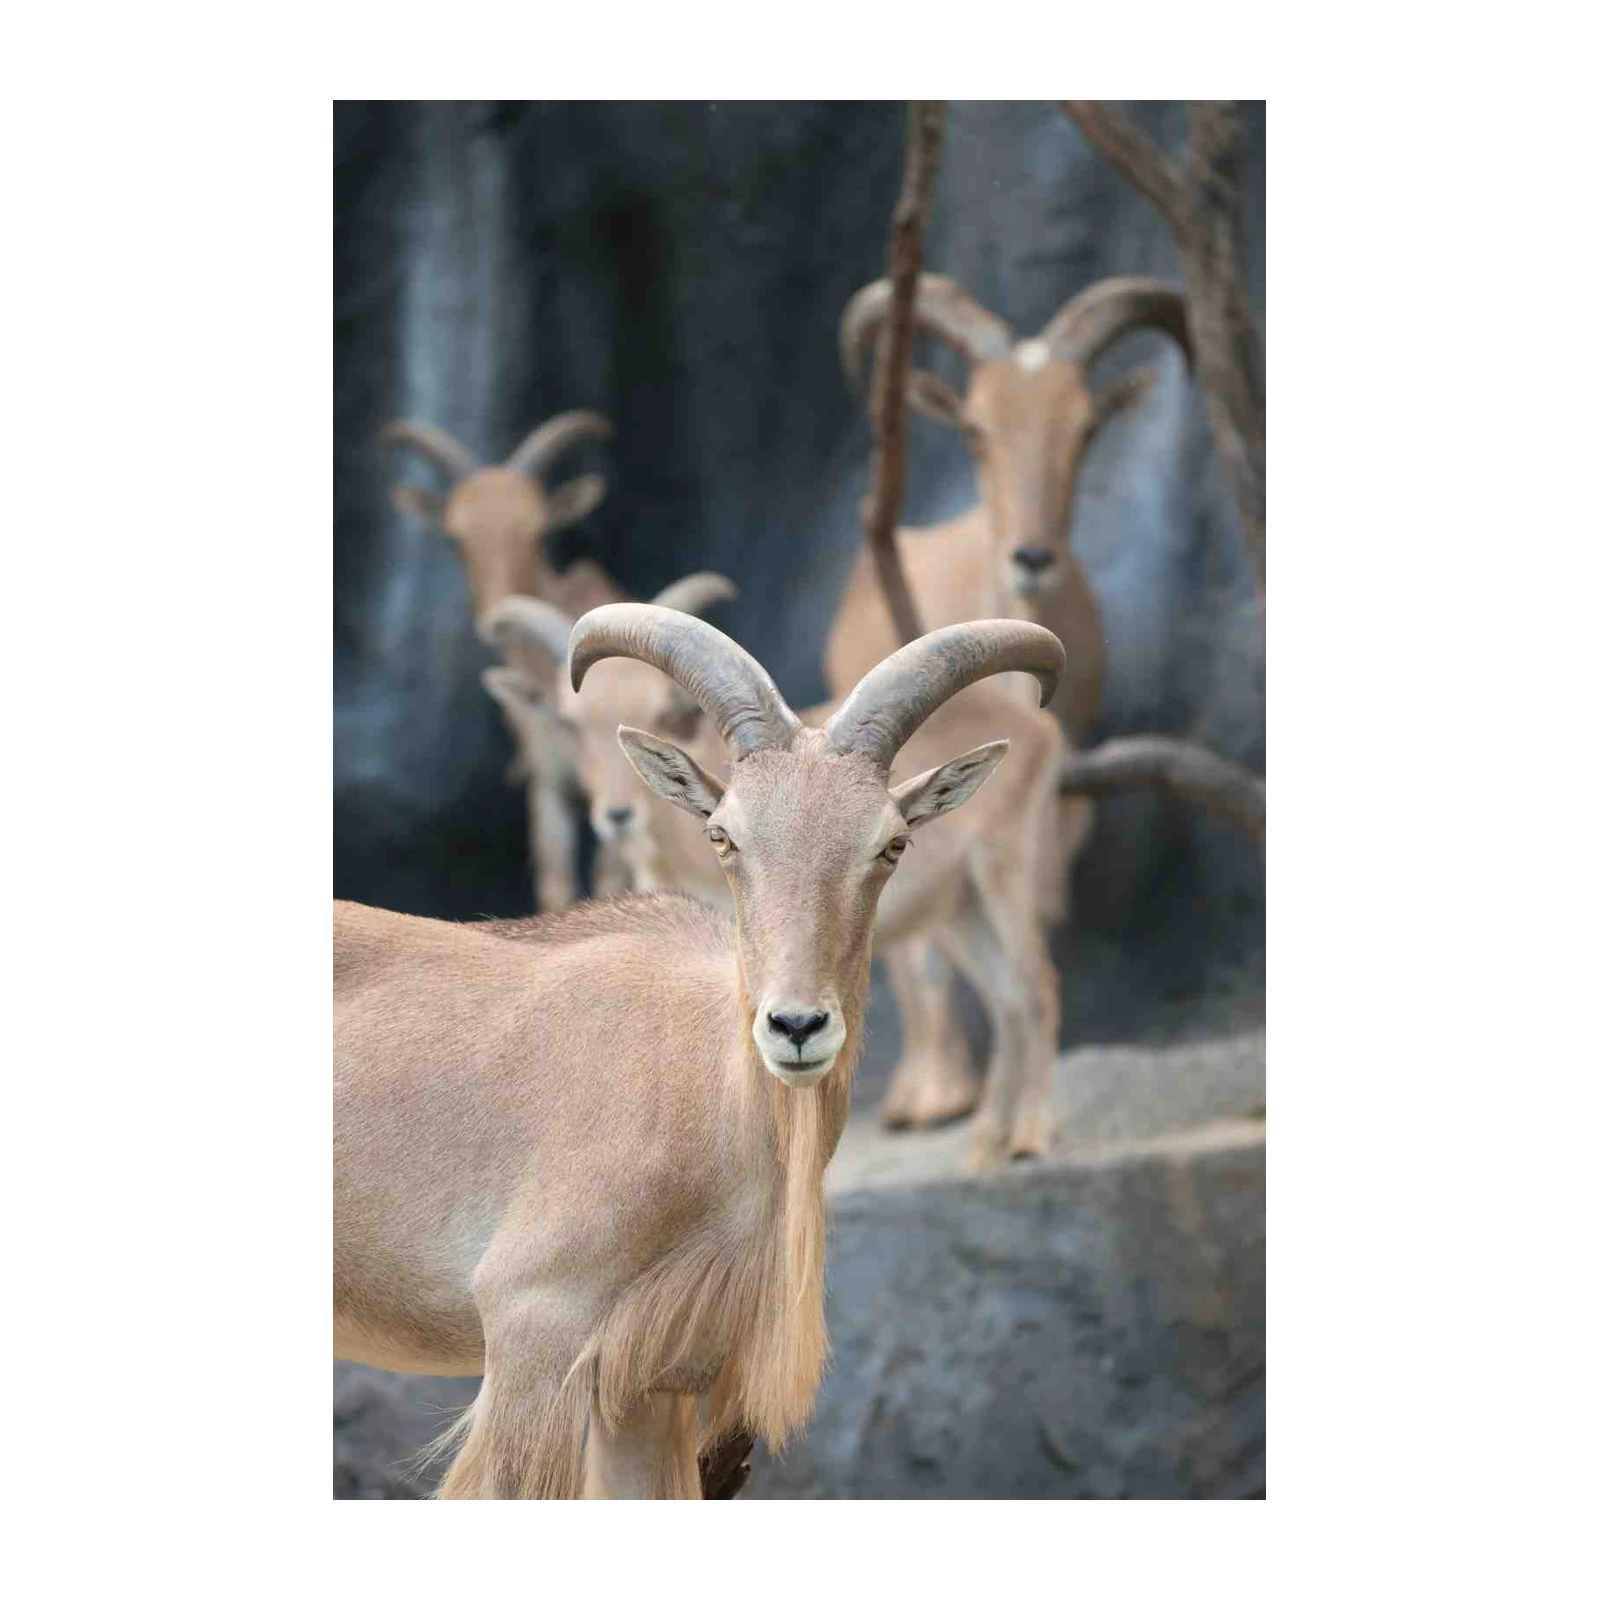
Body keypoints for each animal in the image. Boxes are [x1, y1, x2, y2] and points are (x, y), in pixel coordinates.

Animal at [481, 587, 1067, 1156]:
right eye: (721, 834)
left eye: (894, 843)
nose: (797, 1026)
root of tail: (1037, 724)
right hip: (959, 910)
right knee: (1007, 1000)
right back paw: (988, 1140)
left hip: (1006, 872)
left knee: (1037, 985)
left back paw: (1030, 1134)